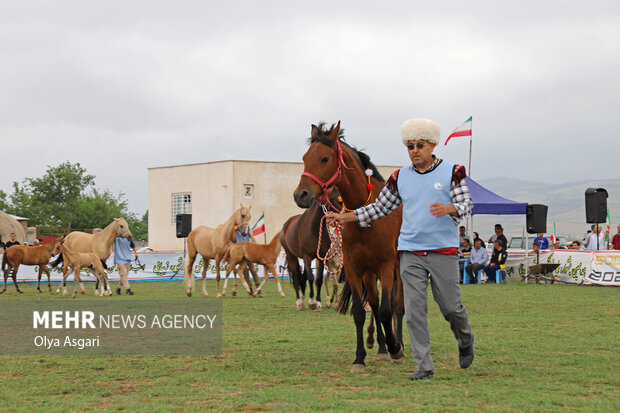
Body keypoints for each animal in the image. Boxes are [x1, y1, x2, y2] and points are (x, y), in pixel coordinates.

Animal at [296, 120, 406, 372]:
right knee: (374, 304)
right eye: (305, 157)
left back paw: (400, 346)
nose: (300, 195)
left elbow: (387, 310)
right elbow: (360, 311)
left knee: (398, 306)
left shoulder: (386, 265)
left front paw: (395, 348)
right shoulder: (356, 268)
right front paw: (360, 358)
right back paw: (382, 346)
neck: (366, 216)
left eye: (325, 158)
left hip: (398, 269)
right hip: (370, 273)